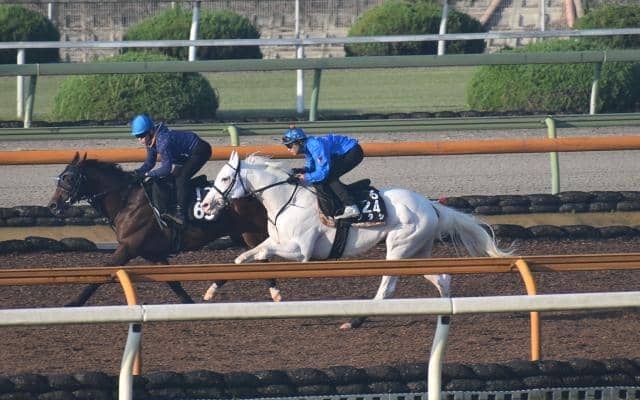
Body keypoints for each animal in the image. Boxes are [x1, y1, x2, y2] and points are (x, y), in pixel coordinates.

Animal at [47, 152, 275, 306]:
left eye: (69, 178)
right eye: (61, 176)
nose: (52, 205)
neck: (127, 201)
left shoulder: (128, 248)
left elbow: (102, 273)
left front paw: (73, 303)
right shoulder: (152, 254)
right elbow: (174, 283)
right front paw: (189, 304)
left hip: (253, 234)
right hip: (241, 235)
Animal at [201, 151, 513, 329]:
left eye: (226, 178)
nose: (204, 206)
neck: (286, 199)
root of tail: (430, 205)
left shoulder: (299, 251)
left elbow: (255, 257)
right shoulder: (274, 242)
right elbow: (242, 258)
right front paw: (212, 290)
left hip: (398, 250)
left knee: (387, 288)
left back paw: (355, 321)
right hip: (416, 252)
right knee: (443, 278)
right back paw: (445, 313)